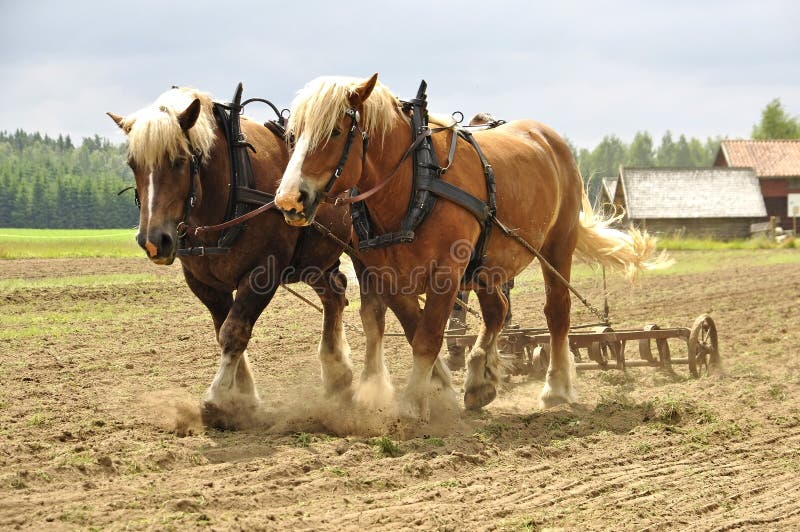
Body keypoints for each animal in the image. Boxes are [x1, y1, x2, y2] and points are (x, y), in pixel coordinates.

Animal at [106, 87, 354, 428]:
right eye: (133, 164)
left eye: (179, 160)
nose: (154, 241)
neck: (232, 186)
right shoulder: (204, 282)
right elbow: (223, 329)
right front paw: (243, 398)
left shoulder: (263, 273)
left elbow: (234, 332)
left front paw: (217, 400)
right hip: (316, 259)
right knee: (335, 294)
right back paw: (337, 374)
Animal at [272, 74, 664, 420]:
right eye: (293, 135)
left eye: (335, 132)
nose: (289, 200)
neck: (415, 183)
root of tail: (549, 137)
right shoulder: (385, 274)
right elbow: (415, 329)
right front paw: (440, 391)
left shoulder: (447, 272)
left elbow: (428, 336)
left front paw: (412, 404)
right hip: (487, 264)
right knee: (497, 311)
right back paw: (479, 381)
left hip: (557, 246)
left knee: (557, 312)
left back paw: (556, 388)